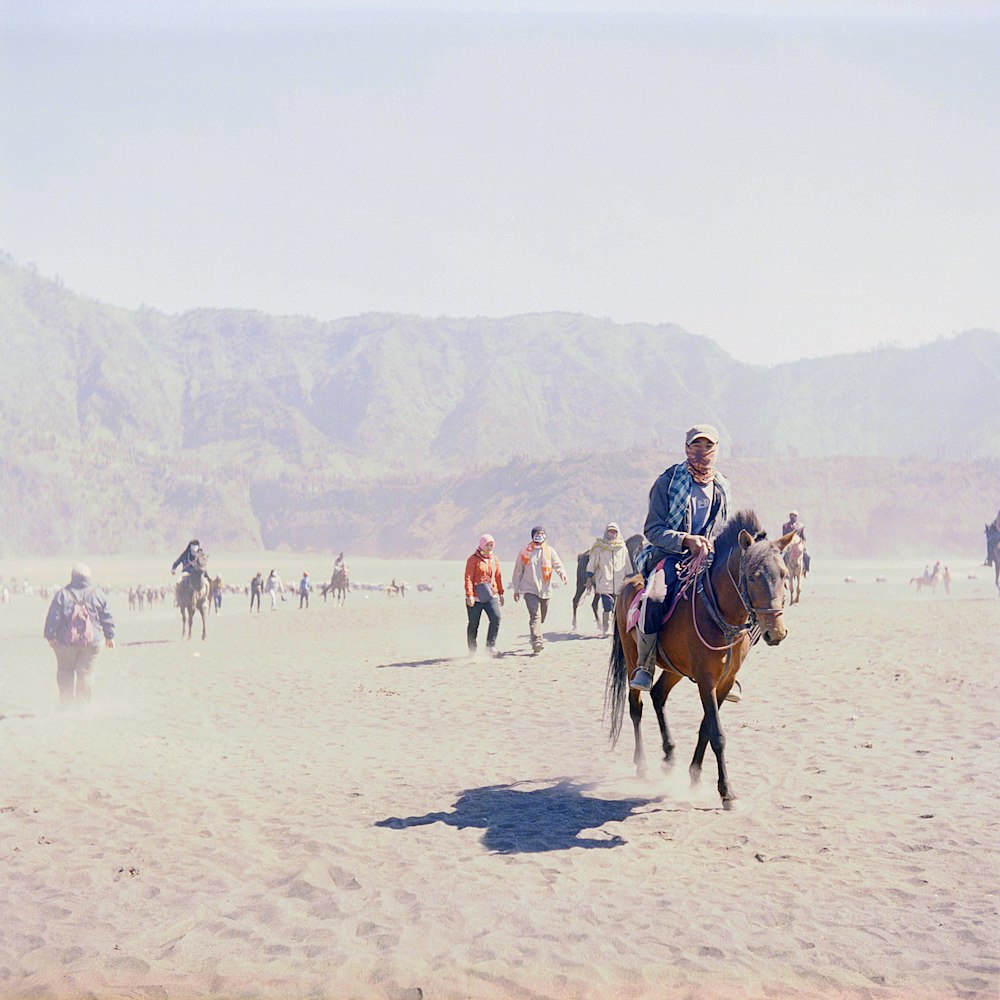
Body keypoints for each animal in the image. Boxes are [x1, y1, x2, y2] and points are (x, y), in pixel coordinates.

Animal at [604, 512, 792, 808]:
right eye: (752, 577)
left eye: (784, 575)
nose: (776, 632)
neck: (720, 614)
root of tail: (627, 584)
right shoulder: (706, 680)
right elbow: (717, 734)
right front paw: (726, 791)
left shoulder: (724, 681)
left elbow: (706, 727)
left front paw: (694, 775)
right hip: (633, 659)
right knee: (636, 706)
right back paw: (642, 765)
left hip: (675, 669)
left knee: (658, 695)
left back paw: (669, 756)